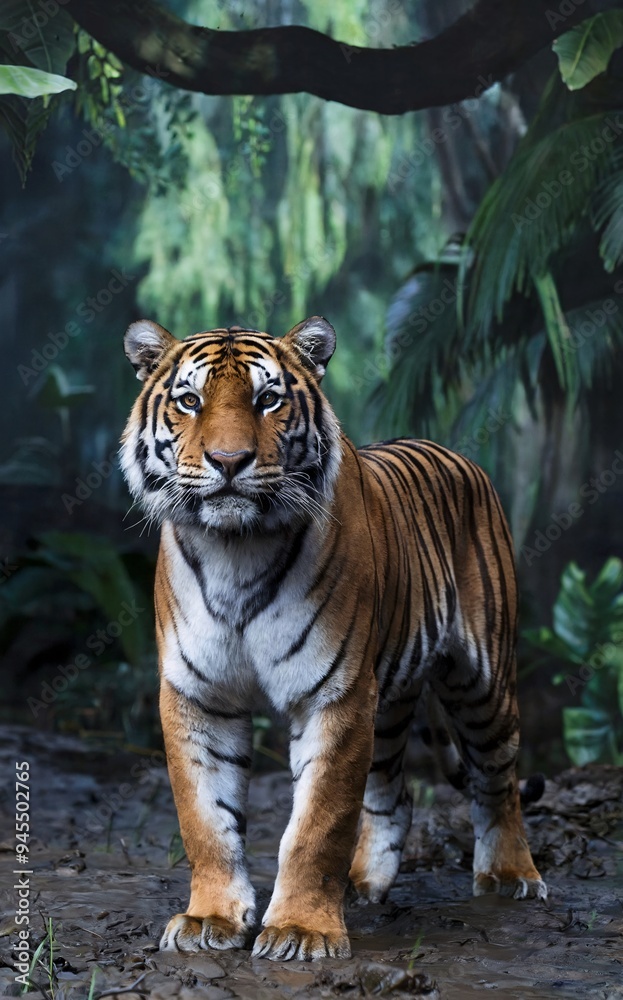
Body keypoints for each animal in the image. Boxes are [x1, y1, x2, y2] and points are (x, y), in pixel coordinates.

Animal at [120, 314, 546, 962]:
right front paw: (209, 919)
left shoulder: (335, 694)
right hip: (391, 701)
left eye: (267, 400)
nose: (228, 460)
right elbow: (205, 818)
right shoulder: (199, 694)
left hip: (483, 681)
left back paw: (510, 875)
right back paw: (363, 883)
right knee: (394, 793)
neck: (235, 551)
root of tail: (451, 451)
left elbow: (318, 822)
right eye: (189, 401)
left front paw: (301, 930)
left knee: (499, 781)